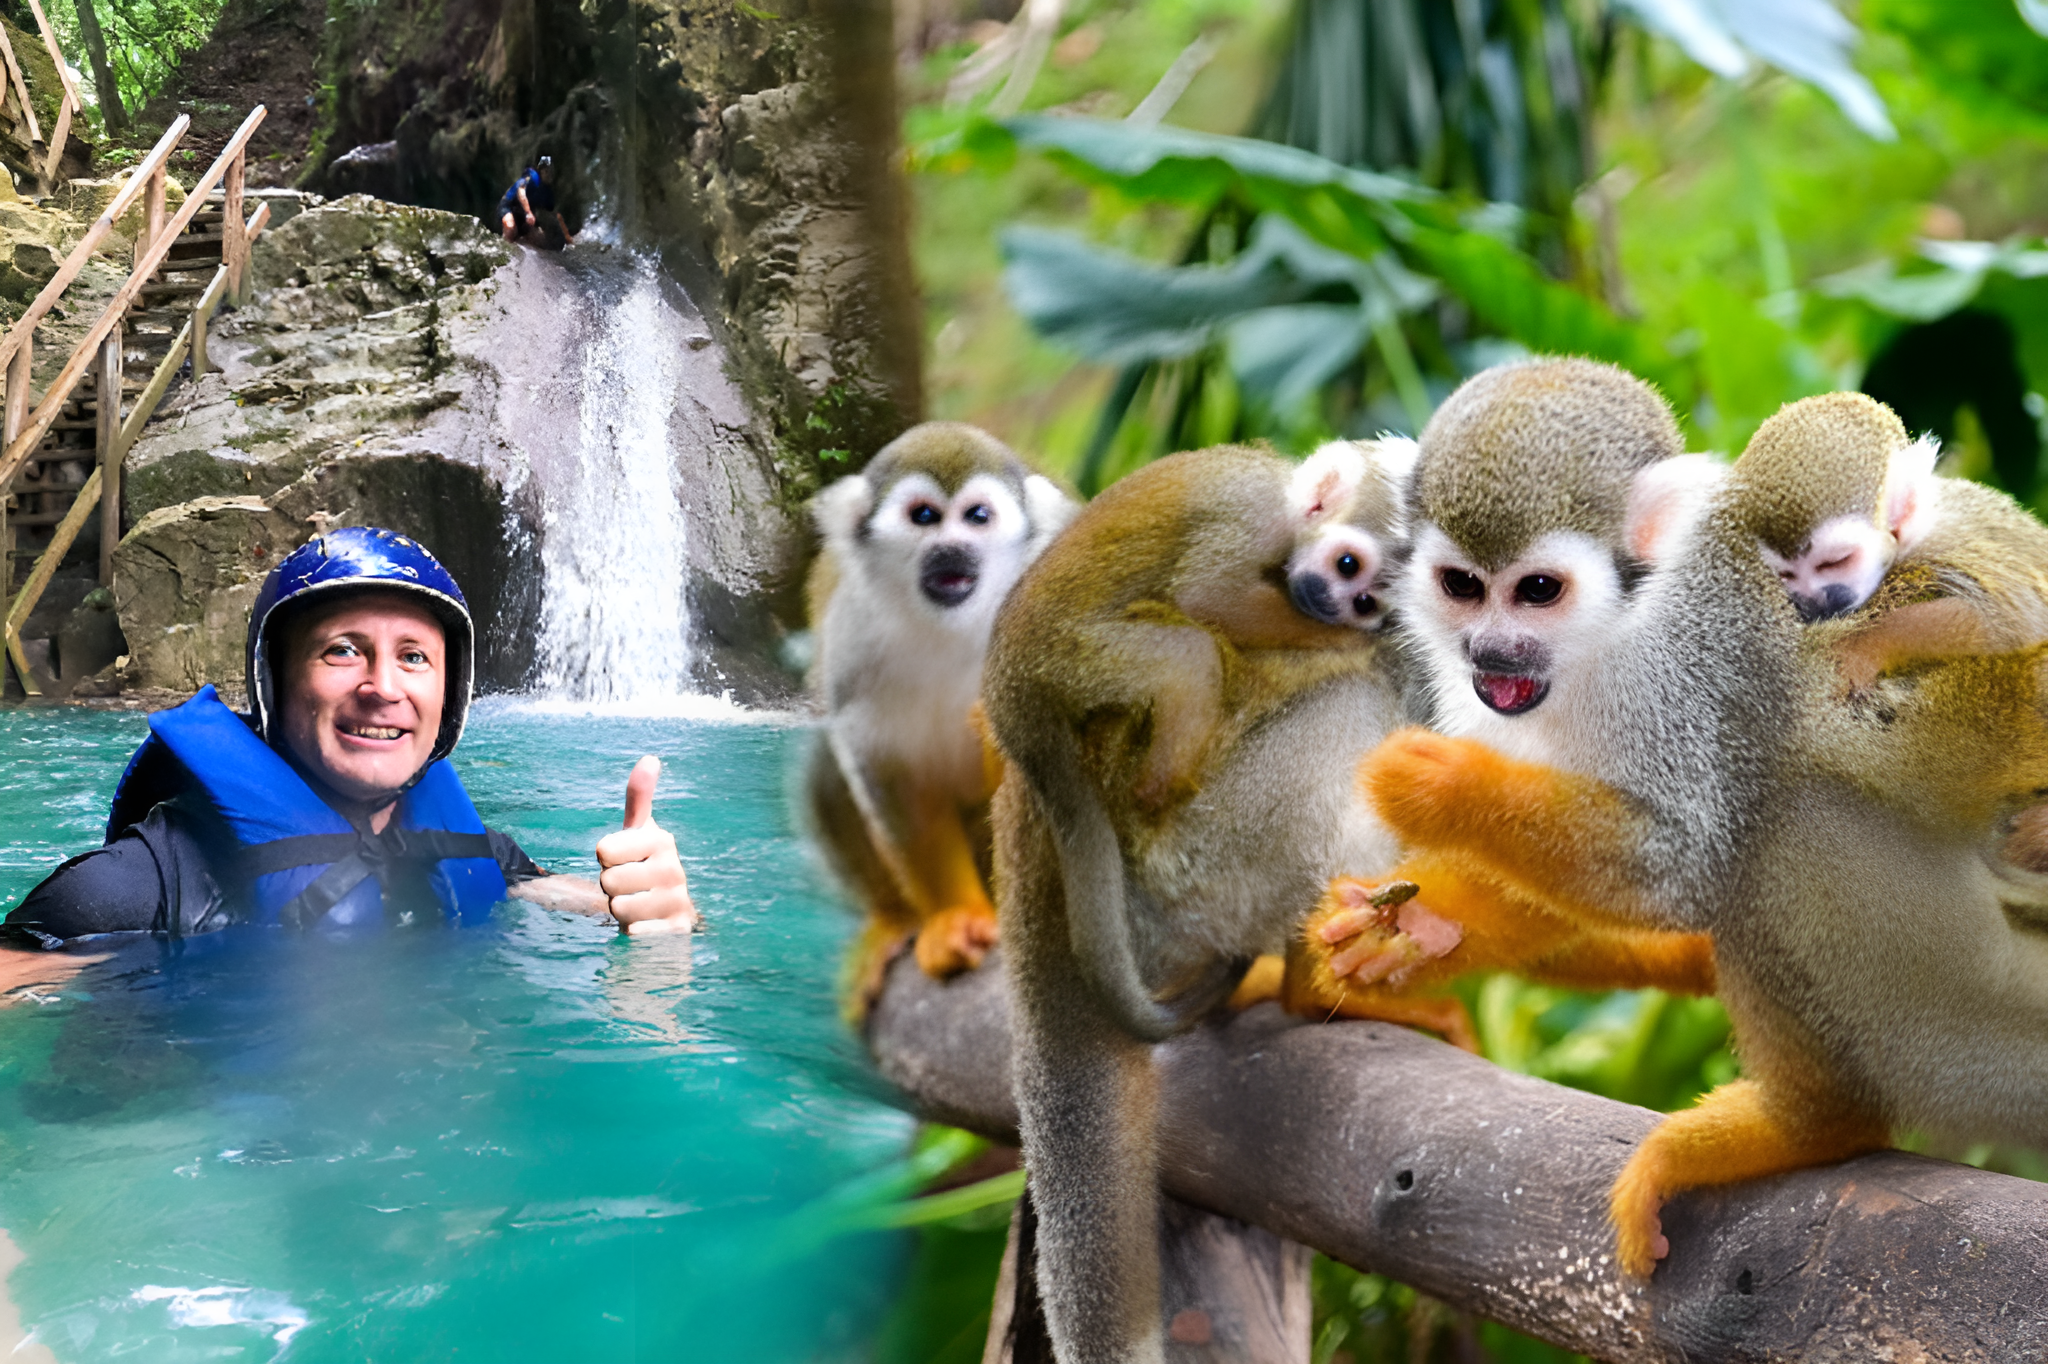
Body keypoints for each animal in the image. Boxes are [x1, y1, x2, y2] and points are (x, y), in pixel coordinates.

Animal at [804, 422, 1077, 1007]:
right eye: (925, 516)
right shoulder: (850, 638)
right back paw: (896, 920)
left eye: (977, 516)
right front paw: (959, 918)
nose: (952, 547)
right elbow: (892, 777)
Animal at [982, 439, 1420, 1364]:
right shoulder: (1245, 541)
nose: (1343, 606)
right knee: (1231, 669)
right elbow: (1221, 604)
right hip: (1184, 844)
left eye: (1367, 592)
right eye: (1350, 567)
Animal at [1354, 389, 2048, 1277]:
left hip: (1963, 998)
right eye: (1461, 586)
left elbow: (1680, 866)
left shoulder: (1692, 669)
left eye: (1538, 589)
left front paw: (1444, 787)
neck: (1612, 635)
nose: (1492, 651)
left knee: (1768, 820)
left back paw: (1812, 1124)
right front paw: (1408, 928)